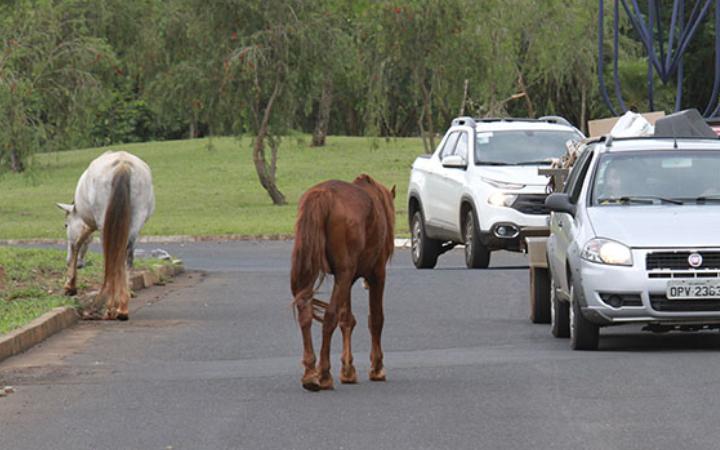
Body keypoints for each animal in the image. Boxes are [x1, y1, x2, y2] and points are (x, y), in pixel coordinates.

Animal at [57, 151, 155, 320]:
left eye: (66, 225)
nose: (67, 260)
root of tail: (123, 164)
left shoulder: (91, 224)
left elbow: (78, 243)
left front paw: (70, 286)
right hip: (134, 222)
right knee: (125, 256)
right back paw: (122, 307)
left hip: (105, 224)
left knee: (111, 258)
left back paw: (111, 307)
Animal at [290, 174, 396, 392]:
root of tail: (323, 195)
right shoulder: (376, 274)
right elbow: (375, 319)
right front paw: (377, 368)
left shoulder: (347, 279)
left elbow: (346, 319)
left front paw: (348, 370)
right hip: (345, 273)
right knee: (329, 316)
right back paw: (323, 374)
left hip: (319, 271)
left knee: (306, 313)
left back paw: (310, 373)